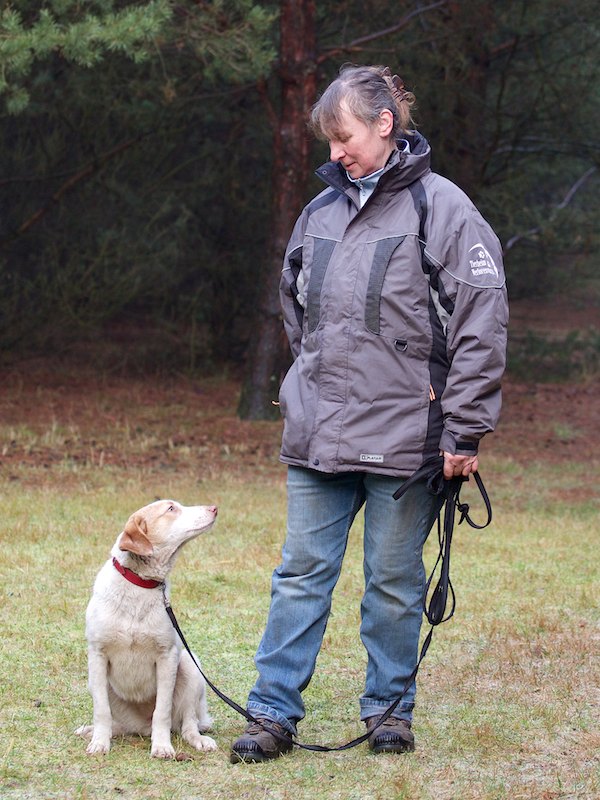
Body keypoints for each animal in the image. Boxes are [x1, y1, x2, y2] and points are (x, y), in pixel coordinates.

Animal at [75, 499, 218, 758]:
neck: (140, 585)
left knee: (188, 724)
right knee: (117, 724)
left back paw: (199, 740)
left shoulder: (167, 657)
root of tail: (141, 727)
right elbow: (101, 710)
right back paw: (92, 731)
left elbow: (161, 711)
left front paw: (161, 746)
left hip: (190, 665)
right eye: (171, 509)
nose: (214, 508)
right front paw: (100, 742)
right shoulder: (97, 655)